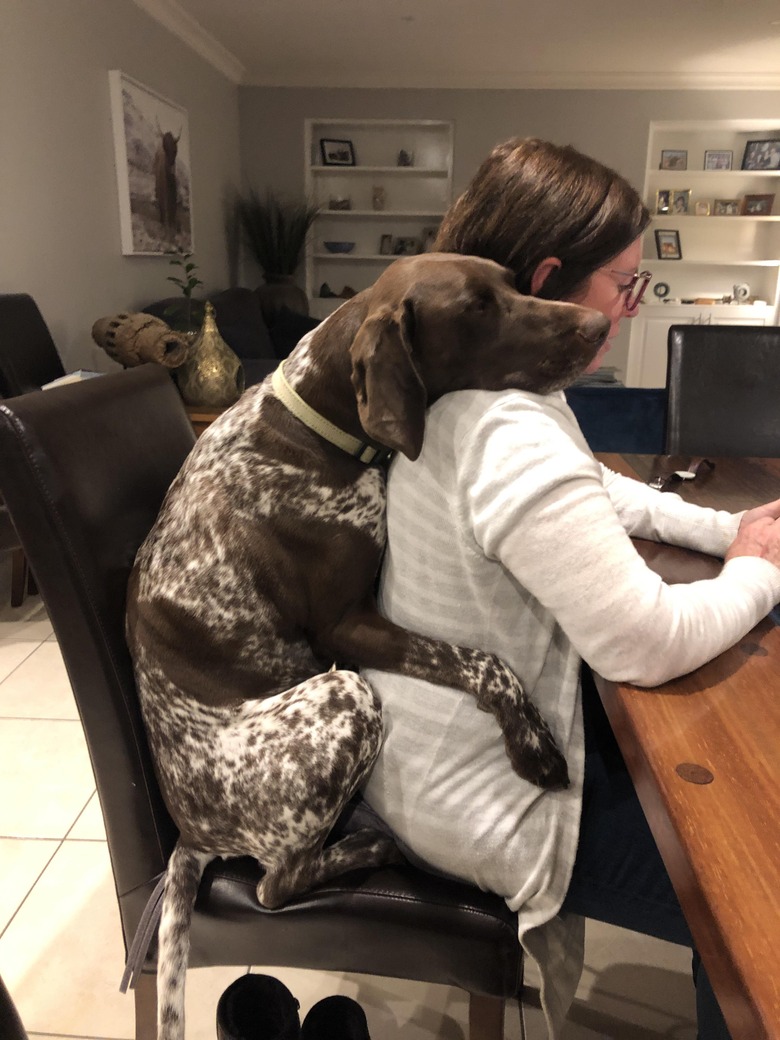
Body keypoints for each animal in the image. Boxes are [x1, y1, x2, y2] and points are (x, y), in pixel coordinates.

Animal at [125, 253, 611, 1040]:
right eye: (477, 308)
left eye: (513, 282)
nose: (598, 324)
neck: (317, 426)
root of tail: (190, 835)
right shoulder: (346, 627)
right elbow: (484, 662)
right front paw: (533, 742)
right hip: (344, 694)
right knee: (275, 885)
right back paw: (369, 845)